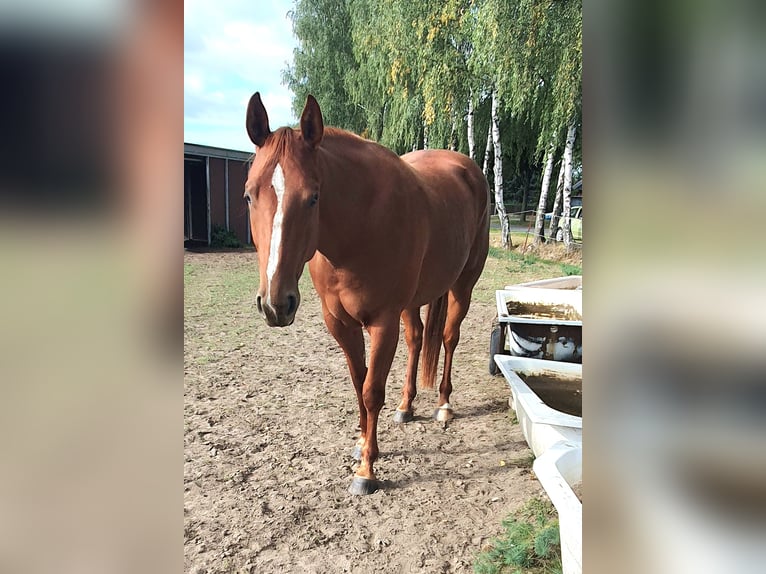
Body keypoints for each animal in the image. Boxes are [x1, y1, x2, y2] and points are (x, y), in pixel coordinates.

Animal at [244, 92, 489, 495]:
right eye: (249, 195)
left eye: (313, 198)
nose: (276, 304)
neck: (357, 231)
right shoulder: (339, 323)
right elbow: (359, 384)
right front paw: (362, 444)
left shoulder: (382, 323)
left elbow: (373, 390)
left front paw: (367, 471)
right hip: (414, 302)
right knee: (417, 338)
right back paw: (406, 407)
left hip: (462, 285)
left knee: (449, 338)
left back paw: (443, 405)